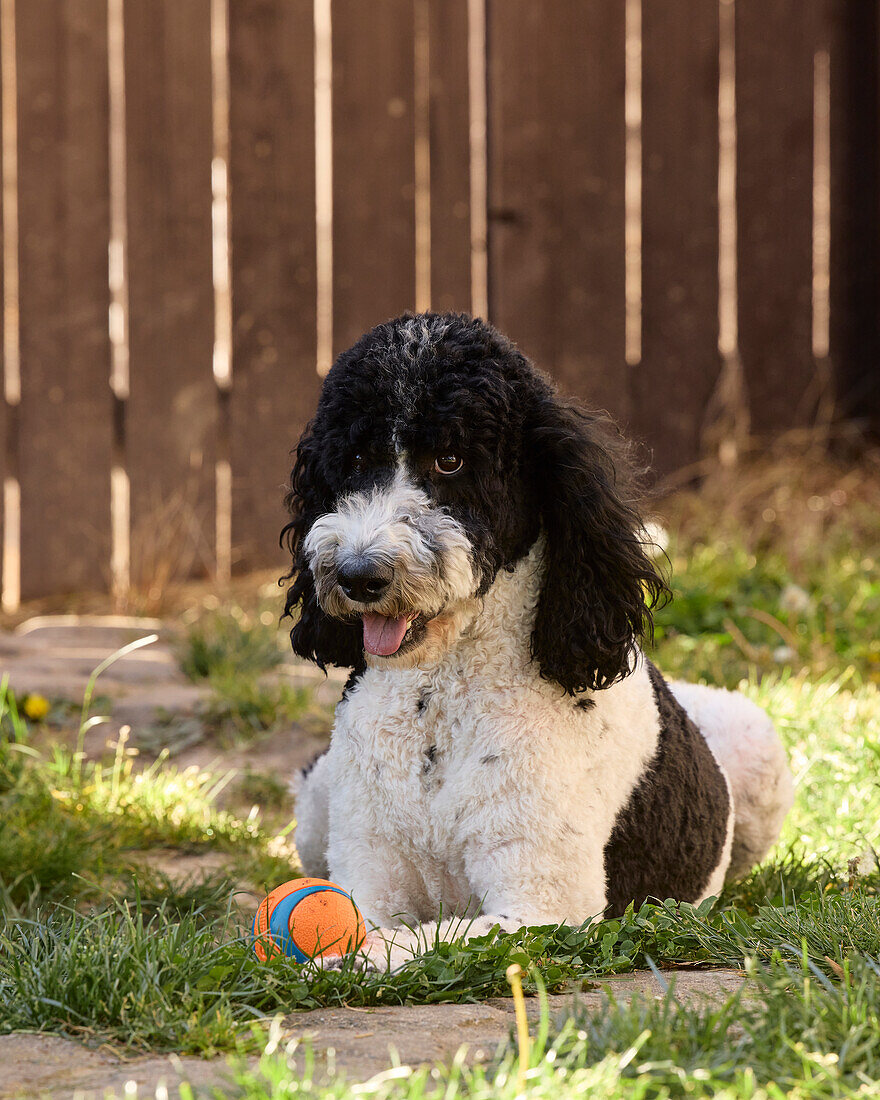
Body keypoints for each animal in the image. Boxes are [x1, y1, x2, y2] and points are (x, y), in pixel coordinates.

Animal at [281, 310, 792, 963]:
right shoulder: (368, 876)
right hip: (316, 798)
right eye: (351, 459)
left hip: (759, 742)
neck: (440, 703)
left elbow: (395, 946)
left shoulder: (542, 909)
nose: (357, 575)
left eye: (450, 460)